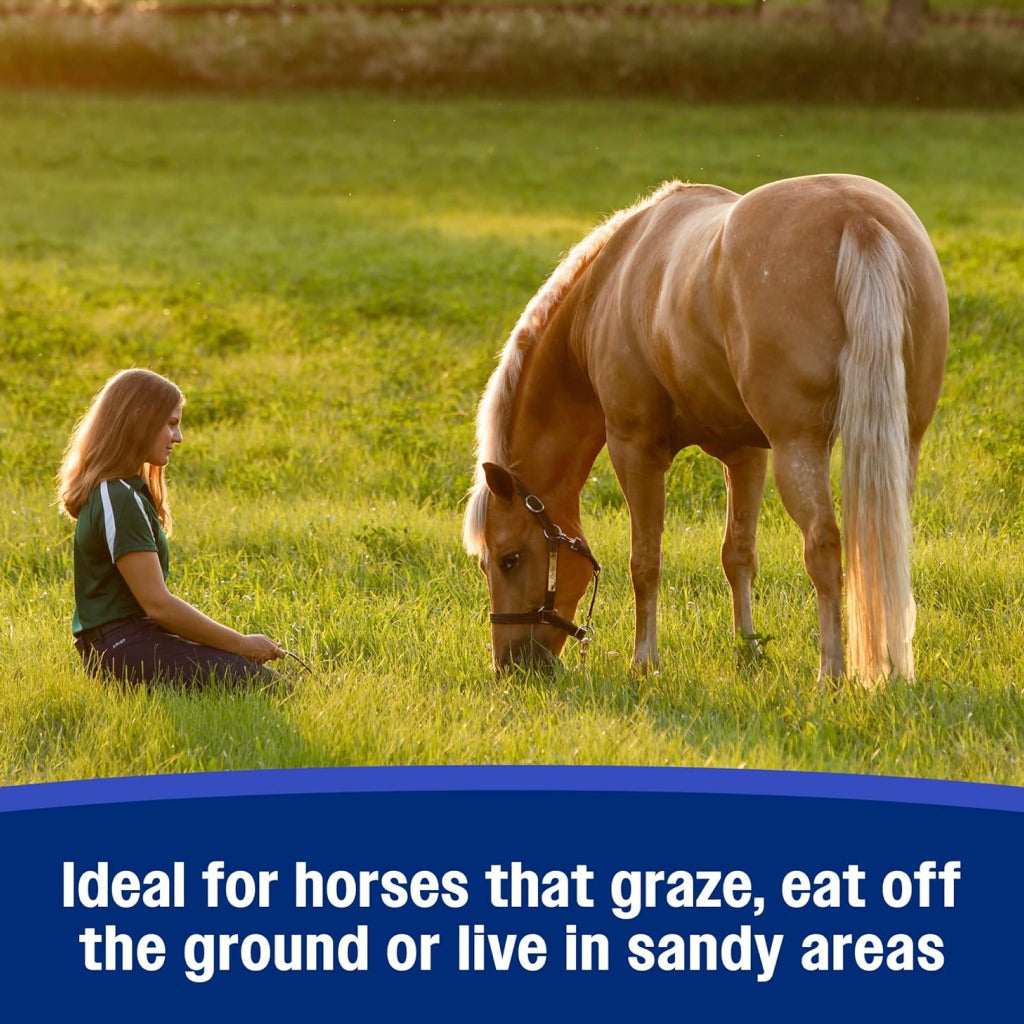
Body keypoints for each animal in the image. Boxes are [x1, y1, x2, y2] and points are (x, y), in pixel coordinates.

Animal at [463, 174, 948, 684]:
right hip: (899, 446)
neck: (607, 286)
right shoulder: (747, 454)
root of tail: (856, 217)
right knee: (882, 548)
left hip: (800, 447)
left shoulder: (635, 448)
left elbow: (645, 561)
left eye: (509, 559)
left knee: (823, 546)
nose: (513, 665)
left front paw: (645, 662)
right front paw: (748, 652)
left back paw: (830, 674)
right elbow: (738, 555)